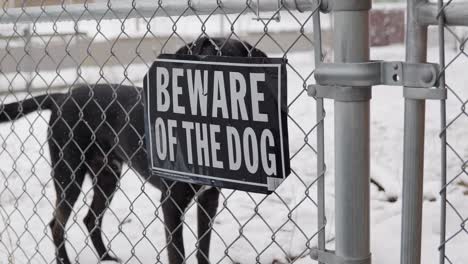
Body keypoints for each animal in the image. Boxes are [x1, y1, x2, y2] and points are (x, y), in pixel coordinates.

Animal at [0, 37, 268, 264]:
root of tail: (62, 96)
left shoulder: (209, 199)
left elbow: (203, 249)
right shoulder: (171, 202)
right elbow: (178, 254)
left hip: (107, 176)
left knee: (90, 218)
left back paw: (106, 257)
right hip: (69, 175)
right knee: (57, 224)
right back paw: (66, 260)